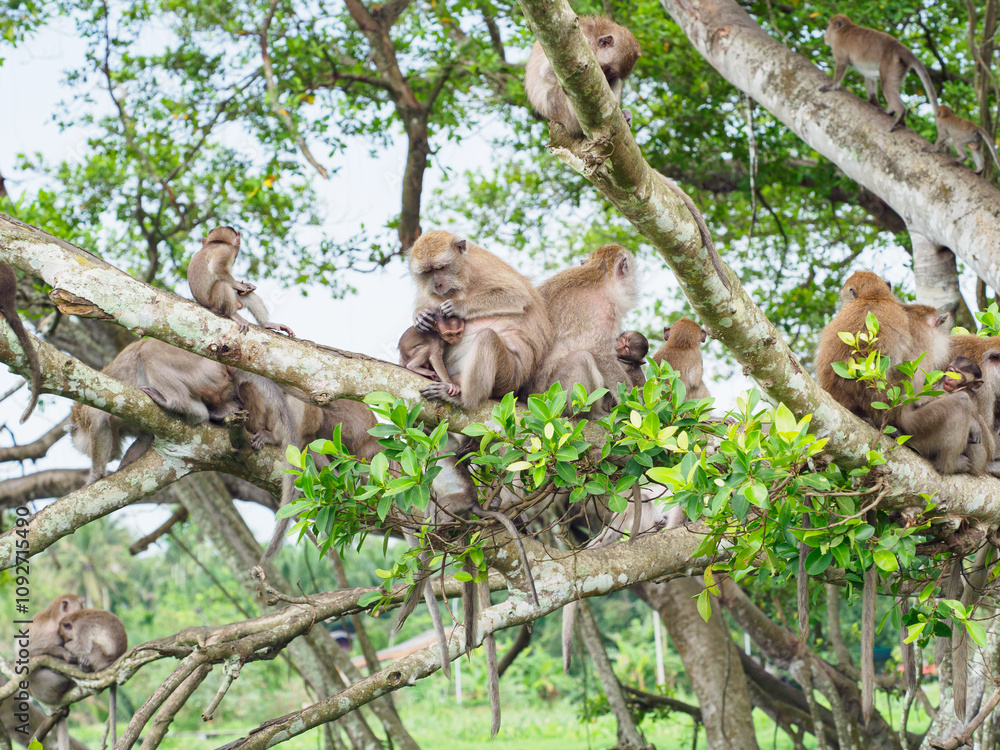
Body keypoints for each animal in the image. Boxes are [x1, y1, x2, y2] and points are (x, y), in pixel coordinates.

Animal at [70, 339, 243, 483]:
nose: (111, 455)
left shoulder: (88, 408)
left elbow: (98, 419)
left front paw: (95, 476)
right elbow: (145, 436)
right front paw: (122, 468)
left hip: (199, 367)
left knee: (149, 349)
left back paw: (181, 405)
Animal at [409, 231, 553, 410]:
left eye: (441, 268)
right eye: (428, 272)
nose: (438, 284)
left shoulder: (481, 267)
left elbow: (517, 295)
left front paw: (458, 306)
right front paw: (419, 315)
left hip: (507, 379)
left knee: (487, 338)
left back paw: (464, 399)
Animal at [533, 245, 637, 416]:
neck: (600, 275)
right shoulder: (603, 310)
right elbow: (601, 354)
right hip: (552, 394)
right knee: (581, 358)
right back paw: (592, 413)